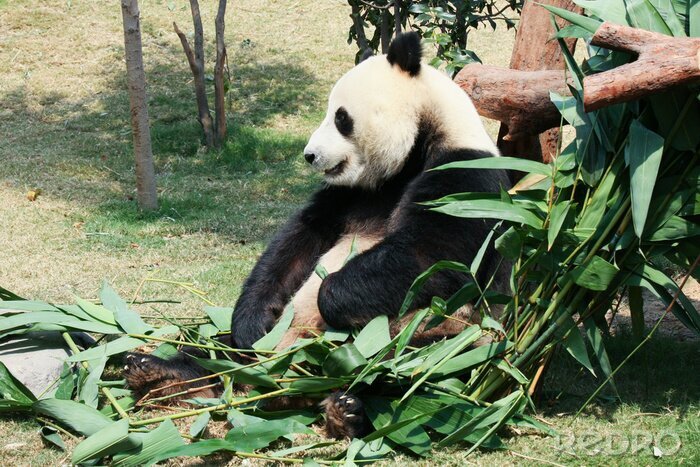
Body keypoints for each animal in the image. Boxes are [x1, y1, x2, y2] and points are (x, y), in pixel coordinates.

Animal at [124, 32, 510, 439]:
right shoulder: (353, 192)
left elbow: (432, 256)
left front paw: (333, 296)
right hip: (266, 347)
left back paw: (346, 409)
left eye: (340, 117)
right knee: (223, 352)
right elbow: (300, 239)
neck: (418, 143)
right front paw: (252, 319)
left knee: (408, 371)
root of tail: (283, 376)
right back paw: (161, 373)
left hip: (444, 336)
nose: (310, 155)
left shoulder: (466, 177)